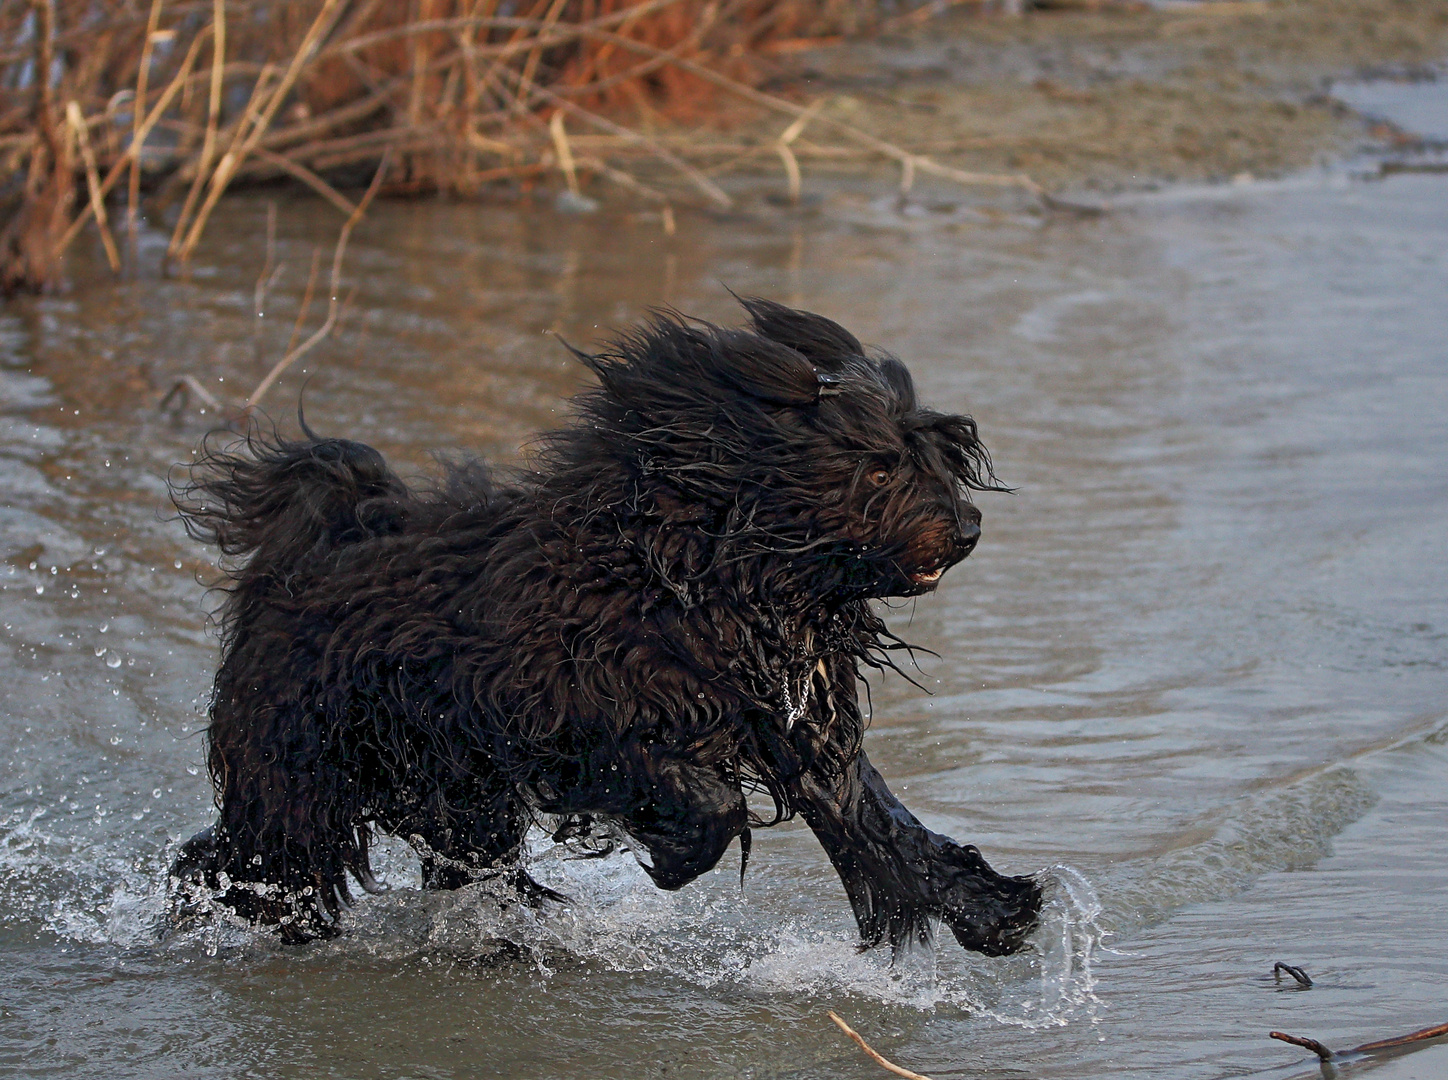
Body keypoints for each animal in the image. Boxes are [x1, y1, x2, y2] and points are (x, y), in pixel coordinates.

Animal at [172, 296, 1042, 949]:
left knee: (460, 864)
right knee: (251, 857)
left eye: (937, 453)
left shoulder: (798, 723)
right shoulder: (580, 708)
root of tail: (299, 556)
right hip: (300, 770)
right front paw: (677, 854)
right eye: (878, 467)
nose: (968, 529)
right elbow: (703, 793)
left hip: (452, 790)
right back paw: (250, 919)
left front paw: (992, 909)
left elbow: (877, 820)